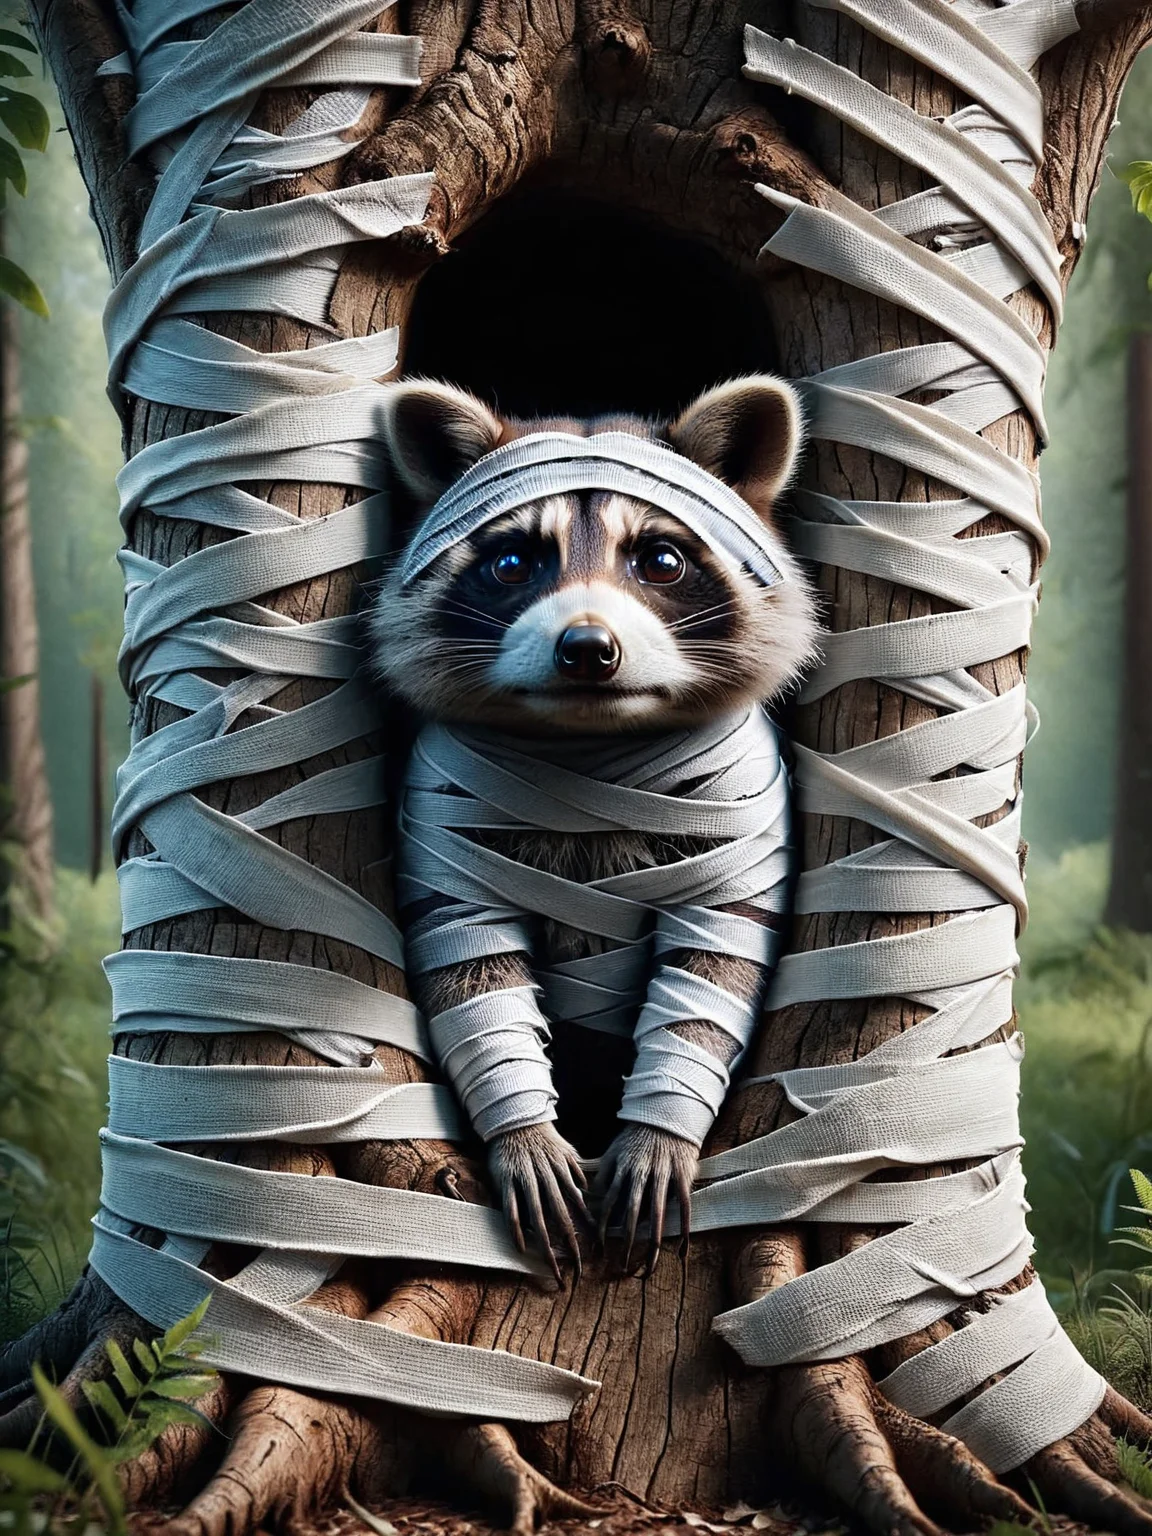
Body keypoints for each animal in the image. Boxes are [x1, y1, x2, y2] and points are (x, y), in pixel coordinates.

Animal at [372, 377, 820, 1278]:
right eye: (513, 563)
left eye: (660, 560)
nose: (587, 647)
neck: (589, 744)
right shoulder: (442, 811)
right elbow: (464, 953)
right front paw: (523, 1131)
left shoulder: (740, 817)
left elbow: (719, 957)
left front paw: (657, 1129)